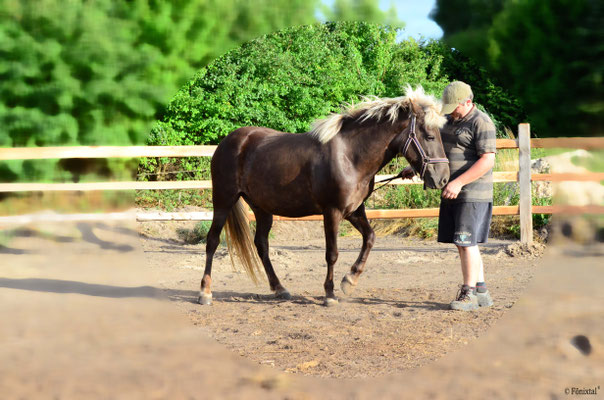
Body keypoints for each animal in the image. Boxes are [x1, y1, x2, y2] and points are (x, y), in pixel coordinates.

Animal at [201, 86, 450, 306]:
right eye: (429, 137)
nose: (443, 179)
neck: (349, 156)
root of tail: (230, 141)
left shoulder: (354, 210)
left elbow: (370, 238)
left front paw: (350, 280)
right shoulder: (332, 212)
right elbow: (332, 254)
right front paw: (329, 294)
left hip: (262, 208)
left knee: (261, 245)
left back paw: (280, 289)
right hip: (223, 200)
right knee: (212, 241)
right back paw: (205, 292)